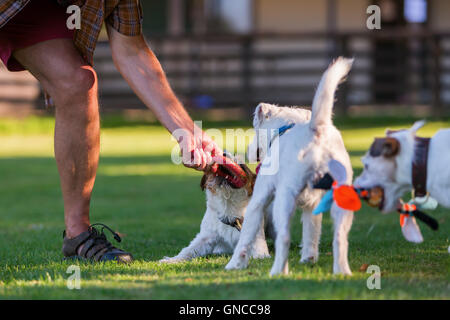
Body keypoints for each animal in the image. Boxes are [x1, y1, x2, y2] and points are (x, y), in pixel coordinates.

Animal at [225, 57, 356, 276]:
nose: (249, 151)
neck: (284, 131)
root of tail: (316, 130)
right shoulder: (313, 205)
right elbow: (311, 232)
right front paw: (308, 259)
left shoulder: (258, 201)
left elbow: (246, 236)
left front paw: (235, 264)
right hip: (342, 202)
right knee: (340, 237)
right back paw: (342, 272)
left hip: (284, 199)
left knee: (284, 238)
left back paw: (278, 271)